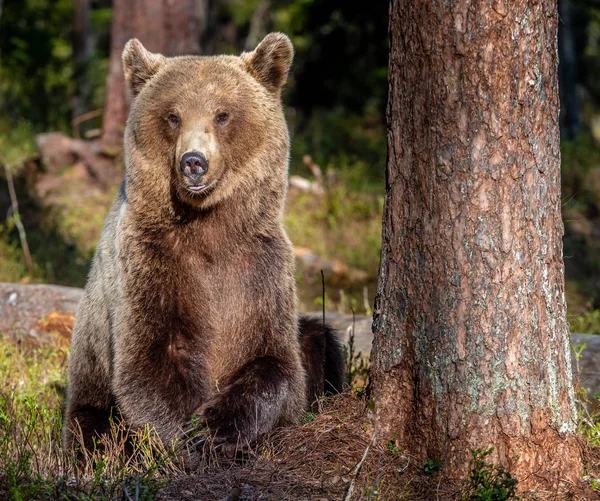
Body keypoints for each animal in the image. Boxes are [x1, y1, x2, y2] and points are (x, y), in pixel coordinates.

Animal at [63, 33, 344, 452]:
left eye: (222, 114)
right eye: (173, 115)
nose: (193, 161)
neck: (208, 223)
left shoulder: (260, 265)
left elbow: (274, 361)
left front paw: (217, 426)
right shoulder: (148, 260)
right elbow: (151, 361)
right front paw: (193, 435)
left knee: (317, 339)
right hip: (89, 385)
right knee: (92, 428)